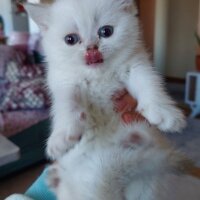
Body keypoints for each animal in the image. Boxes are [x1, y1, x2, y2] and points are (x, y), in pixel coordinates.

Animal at [25, 0, 186, 159]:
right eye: (70, 39)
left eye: (106, 31)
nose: (91, 48)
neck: (99, 76)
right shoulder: (64, 82)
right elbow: (66, 103)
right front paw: (62, 135)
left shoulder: (136, 63)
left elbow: (148, 82)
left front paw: (164, 111)